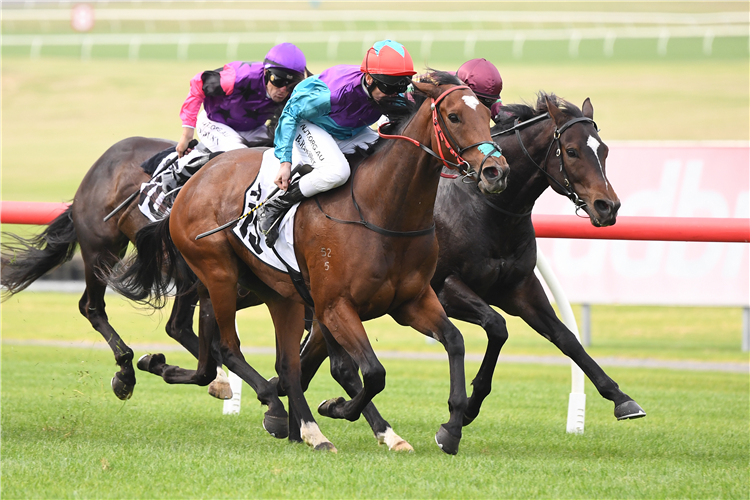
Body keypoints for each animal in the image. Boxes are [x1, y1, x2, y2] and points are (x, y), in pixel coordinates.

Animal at [110, 72, 512, 456]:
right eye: (454, 116)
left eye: (487, 115)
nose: (495, 171)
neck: (381, 211)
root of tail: (193, 183)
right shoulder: (334, 306)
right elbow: (370, 372)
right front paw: (339, 408)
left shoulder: (411, 302)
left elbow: (454, 342)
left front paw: (451, 428)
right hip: (218, 274)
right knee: (229, 347)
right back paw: (277, 412)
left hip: (278, 294)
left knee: (279, 365)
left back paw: (304, 428)